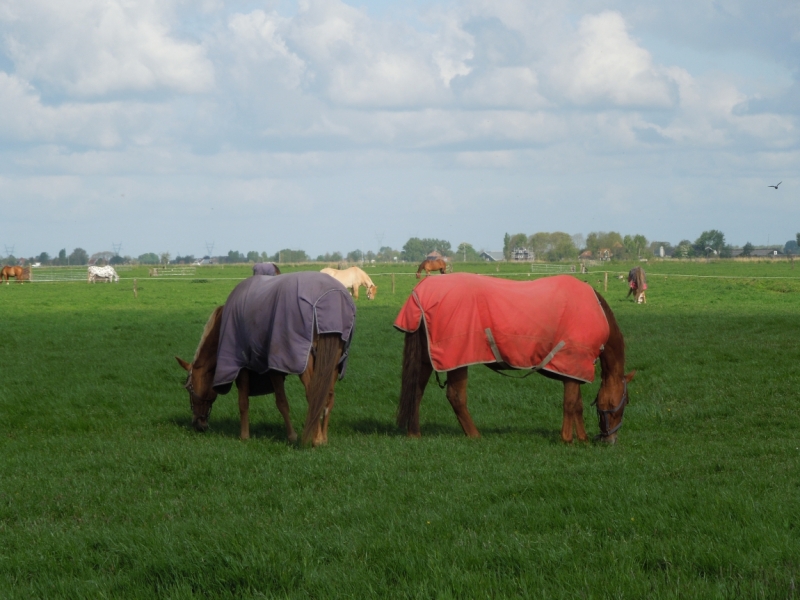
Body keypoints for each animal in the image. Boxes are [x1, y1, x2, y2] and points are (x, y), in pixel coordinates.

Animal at [180, 272, 358, 446]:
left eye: (189, 387)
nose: (197, 424)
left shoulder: (250, 367)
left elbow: (252, 402)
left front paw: (247, 435)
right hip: (334, 361)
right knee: (328, 396)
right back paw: (323, 437)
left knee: (314, 394)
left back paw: (316, 439)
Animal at [396, 274, 636, 442]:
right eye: (625, 402)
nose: (610, 440)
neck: (596, 311)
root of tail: (420, 292)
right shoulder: (572, 363)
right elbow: (570, 404)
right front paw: (568, 439)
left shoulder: (573, 370)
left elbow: (576, 404)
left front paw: (582, 439)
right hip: (458, 359)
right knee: (455, 397)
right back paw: (475, 435)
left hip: (426, 359)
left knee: (416, 391)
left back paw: (414, 433)